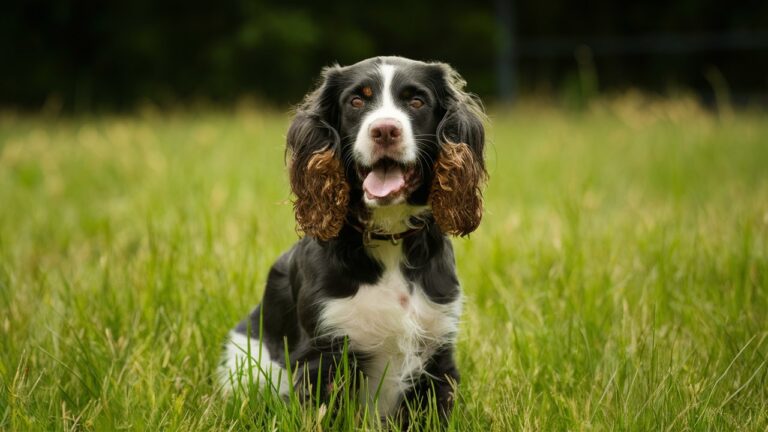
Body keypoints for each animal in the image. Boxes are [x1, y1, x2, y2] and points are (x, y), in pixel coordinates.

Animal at [219, 55, 486, 424]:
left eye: (416, 101)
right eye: (357, 101)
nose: (385, 130)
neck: (389, 237)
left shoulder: (437, 352)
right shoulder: (325, 355)